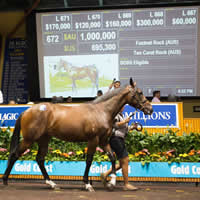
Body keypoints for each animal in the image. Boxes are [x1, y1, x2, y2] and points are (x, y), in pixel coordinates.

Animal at [2, 77, 153, 191]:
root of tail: (27, 111)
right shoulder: (93, 140)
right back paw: (5, 181)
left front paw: (111, 183)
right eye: (139, 92)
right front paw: (87, 184)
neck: (101, 111)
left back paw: (52, 184)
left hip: (44, 139)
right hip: (29, 139)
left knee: (39, 159)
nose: (150, 109)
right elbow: (89, 160)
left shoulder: (103, 141)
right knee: (15, 155)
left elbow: (112, 157)